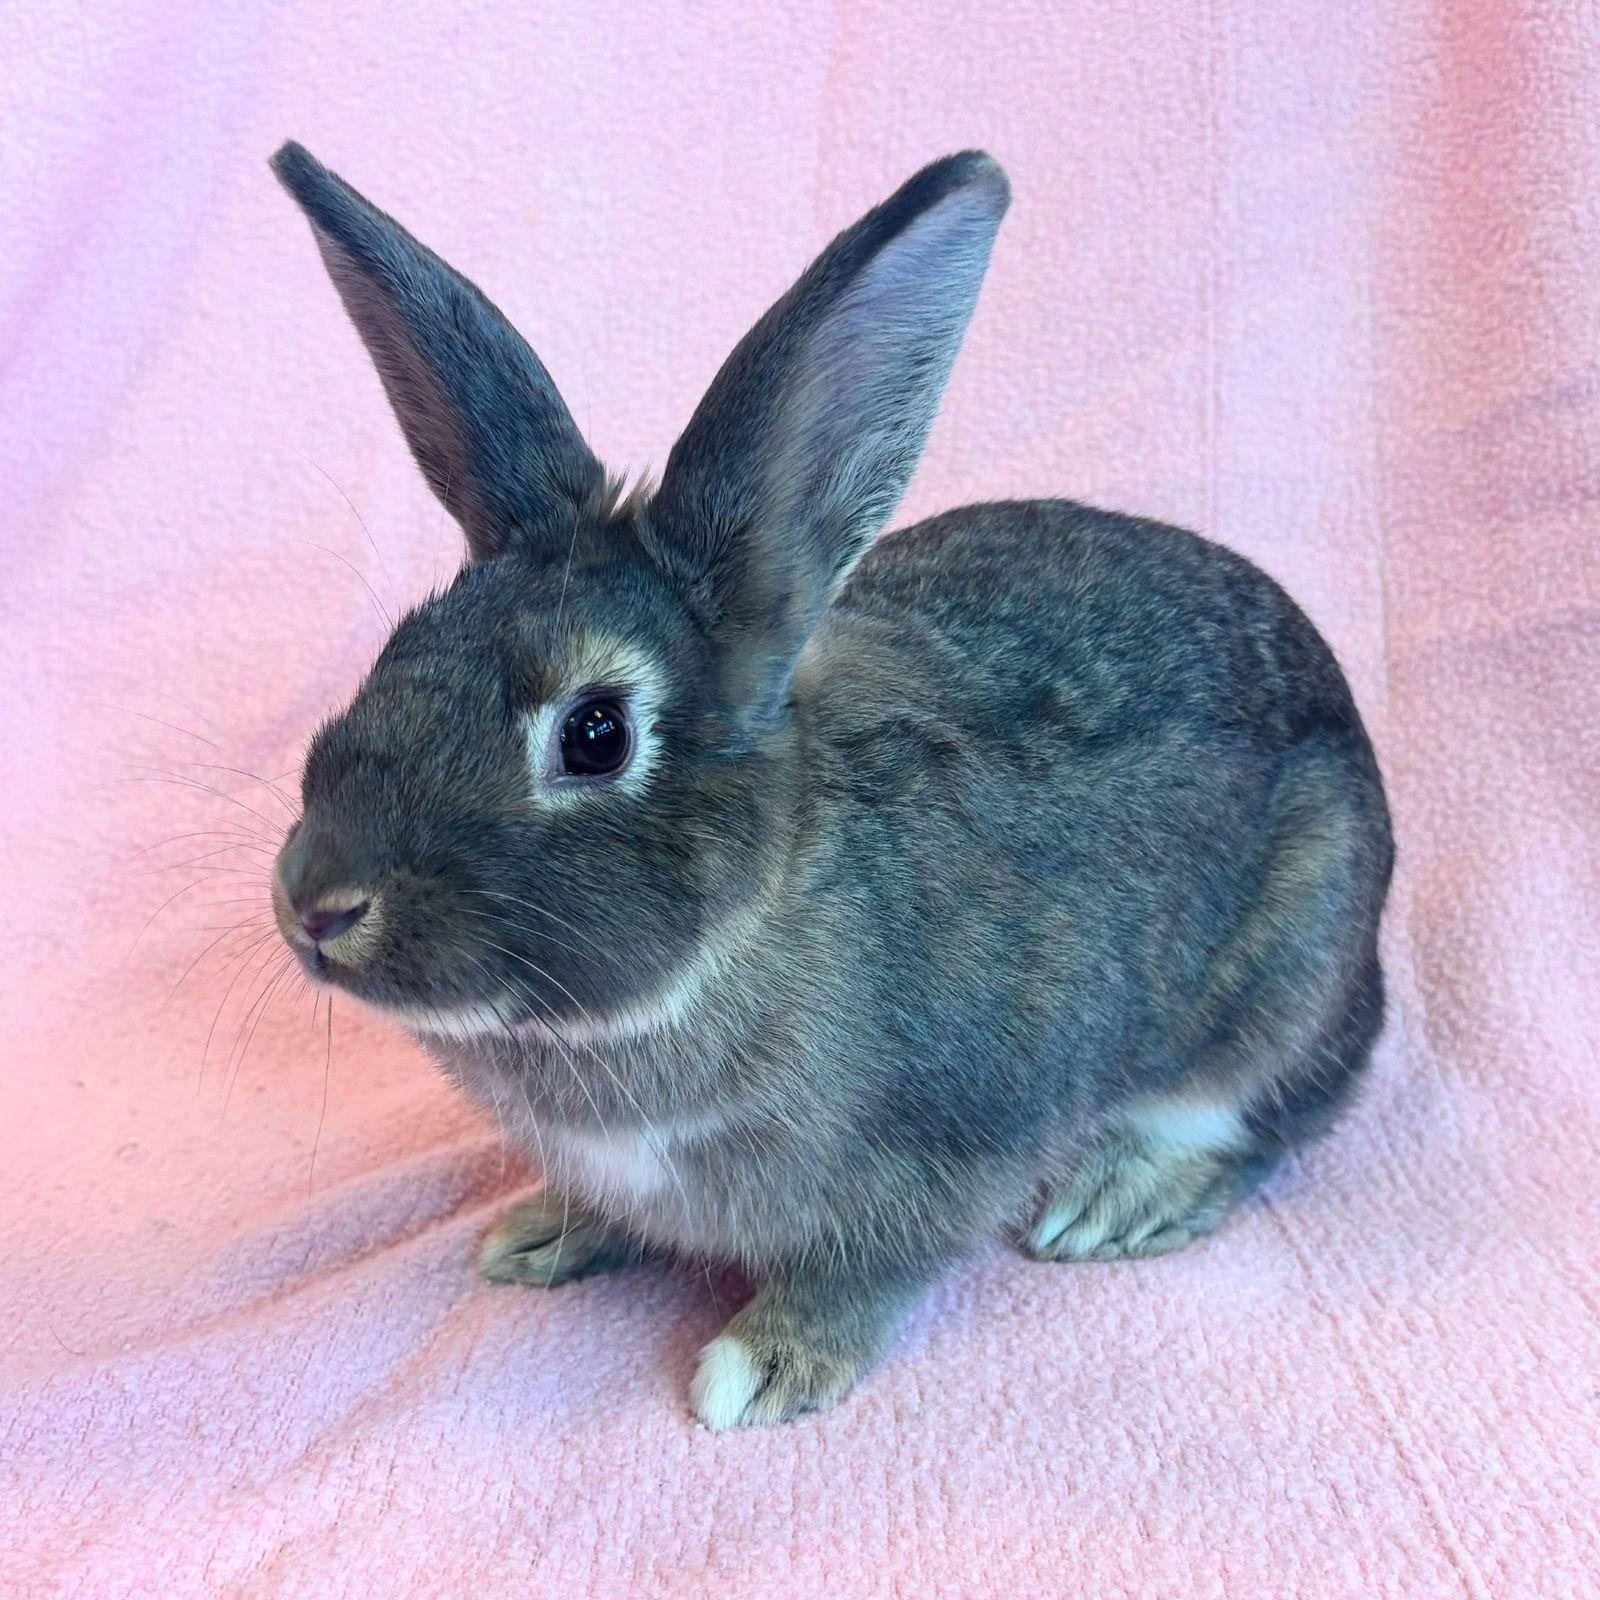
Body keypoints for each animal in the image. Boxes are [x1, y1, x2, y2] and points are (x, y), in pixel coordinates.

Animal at [267, 140, 1394, 1429]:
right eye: (398, 649)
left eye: (596, 733)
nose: (317, 904)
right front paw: (546, 1235)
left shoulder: (946, 1150)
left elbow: (869, 1269)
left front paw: (764, 1365)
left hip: (1282, 977)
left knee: (1265, 1117)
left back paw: (1120, 1200)